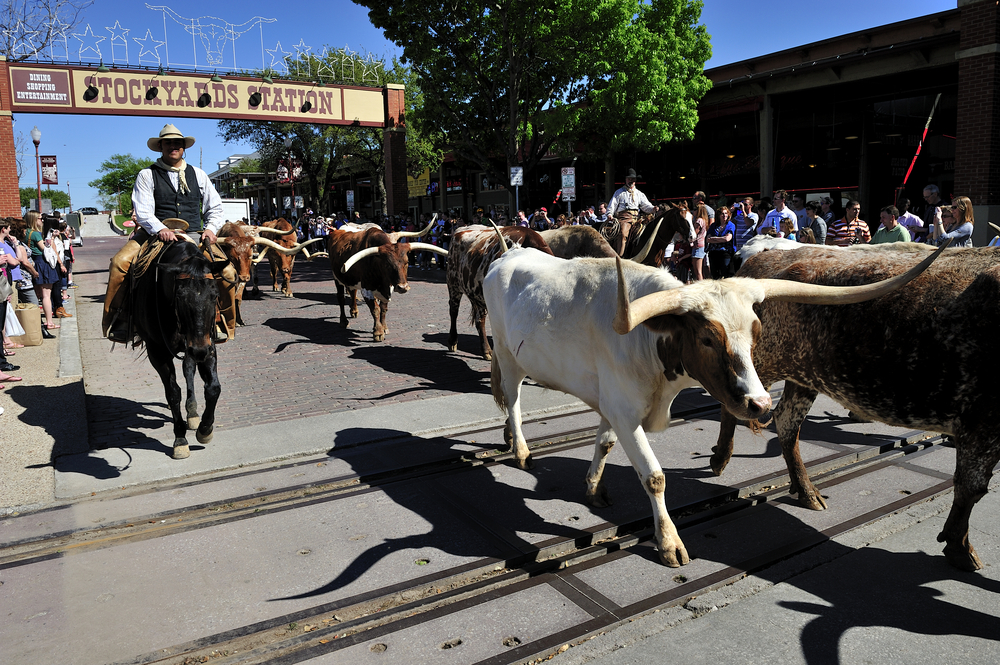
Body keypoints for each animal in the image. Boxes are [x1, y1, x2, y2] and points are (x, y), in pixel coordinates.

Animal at [130, 241, 228, 460]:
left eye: (215, 295)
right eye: (180, 296)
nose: (199, 350)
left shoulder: (208, 345)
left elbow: (213, 388)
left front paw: (205, 429)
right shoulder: (157, 353)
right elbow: (173, 393)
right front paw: (180, 440)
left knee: (189, 369)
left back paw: (192, 412)